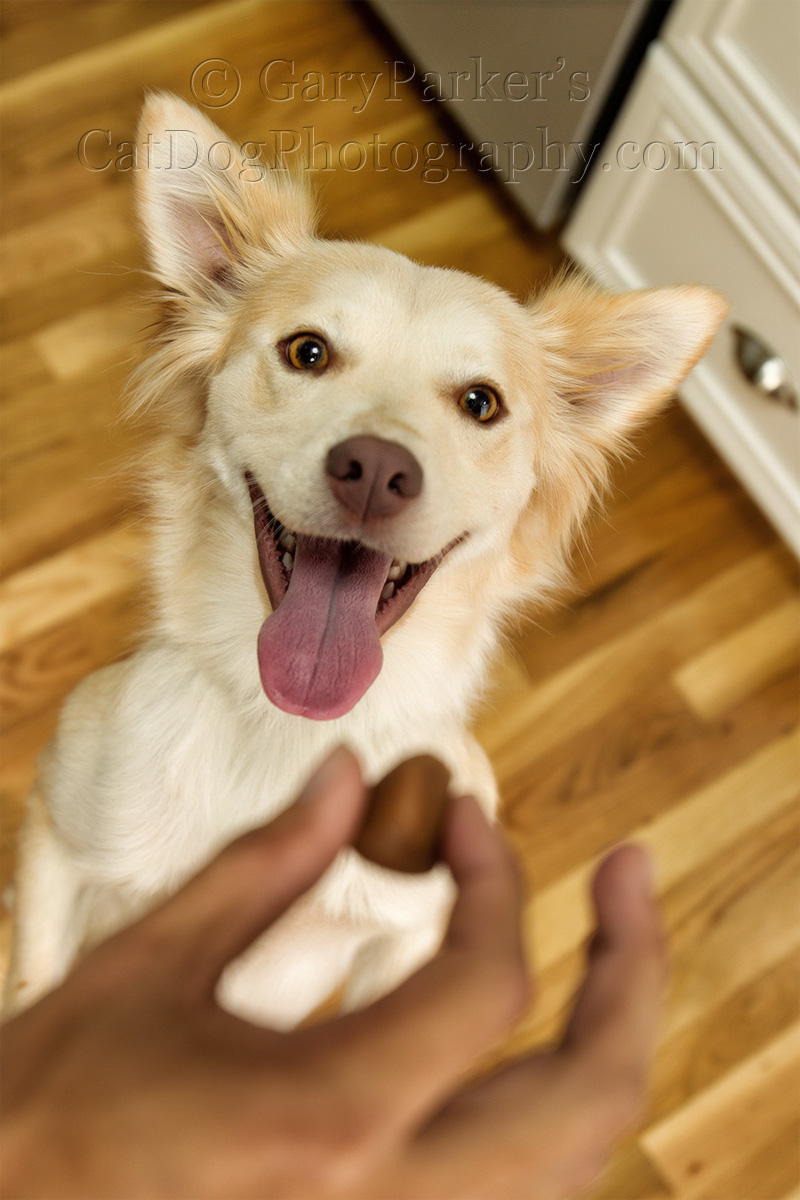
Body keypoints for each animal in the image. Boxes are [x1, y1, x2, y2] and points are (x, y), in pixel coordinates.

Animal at [3, 98, 729, 1027]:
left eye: (481, 403)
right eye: (306, 352)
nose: (378, 471)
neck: (291, 734)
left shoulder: (413, 933)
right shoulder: (55, 835)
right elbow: (35, 990)